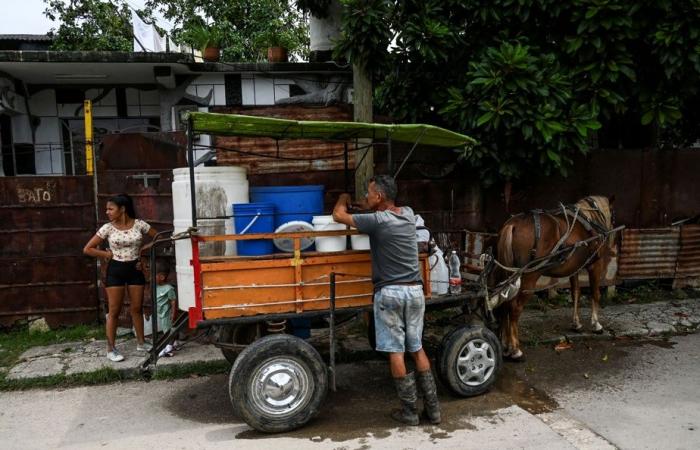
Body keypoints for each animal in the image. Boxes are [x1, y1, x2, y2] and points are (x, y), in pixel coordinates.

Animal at [494, 195, 616, 360]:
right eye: (613, 214)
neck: (590, 219)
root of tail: (513, 224)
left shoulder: (574, 269)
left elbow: (576, 293)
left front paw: (576, 324)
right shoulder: (595, 266)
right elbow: (595, 294)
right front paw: (596, 324)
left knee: (505, 305)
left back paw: (505, 345)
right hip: (529, 277)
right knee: (514, 308)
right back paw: (515, 350)